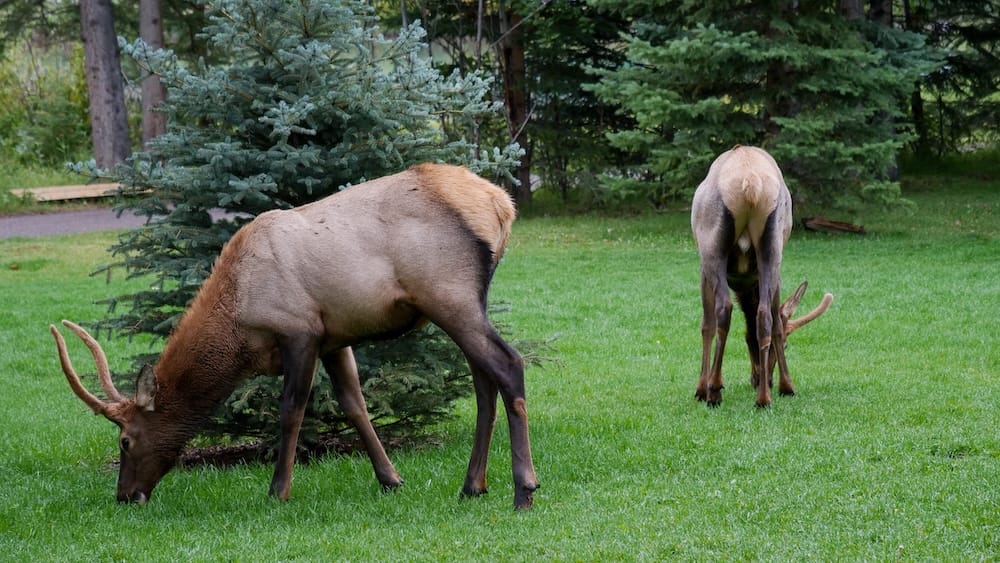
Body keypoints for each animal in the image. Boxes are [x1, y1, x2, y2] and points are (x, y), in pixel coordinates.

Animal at [50, 163, 539, 509]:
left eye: (125, 440)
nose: (124, 496)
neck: (239, 317)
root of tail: (502, 206)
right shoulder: (336, 337)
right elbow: (354, 405)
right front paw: (390, 479)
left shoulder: (299, 330)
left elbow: (290, 411)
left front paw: (277, 490)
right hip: (465, 300)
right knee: (482, 382)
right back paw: (472, 485)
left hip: (447, 293)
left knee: (508, 364)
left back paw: (524, 489)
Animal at [691, 145, 833, 408]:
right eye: (786, 343)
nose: (763, 379)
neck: (744, 288)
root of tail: (751, 186)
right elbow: (775, 322)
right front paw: (785, 386)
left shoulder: (703, 270)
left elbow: (707, 326)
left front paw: (701, 388)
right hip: (773, 249)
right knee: (766, 315)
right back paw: (765, 398)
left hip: (711, 250)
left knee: (723, 310)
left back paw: (715, 390)